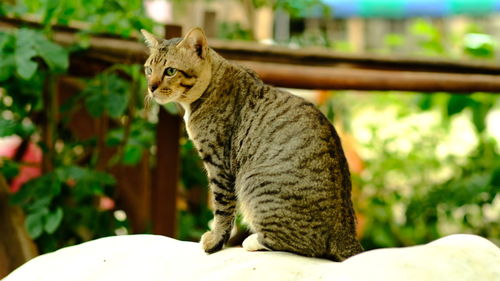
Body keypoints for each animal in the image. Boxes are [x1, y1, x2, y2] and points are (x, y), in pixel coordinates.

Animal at [141, 27, 364, 260]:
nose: (151, 87)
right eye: (149, 69)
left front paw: (214, 240)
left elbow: (222, 210)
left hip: (253, 182)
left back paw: (253, 241)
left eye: (170, 71)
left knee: (304, 245)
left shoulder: (219, 165)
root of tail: (345, 234)